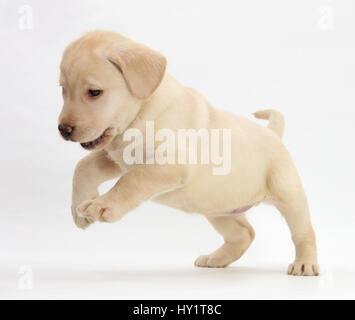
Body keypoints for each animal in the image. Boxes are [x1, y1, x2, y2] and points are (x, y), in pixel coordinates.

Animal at [58, 30, 320, 276]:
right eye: (63, 90)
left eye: (94, 92)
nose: (63, 130)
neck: (142, 112)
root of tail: (273, 133)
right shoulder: (118, 157)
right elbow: (83, 167)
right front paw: (78, 210)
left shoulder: (171, 163)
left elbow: (131, 180)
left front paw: (102, 205)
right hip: (219, 209)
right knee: (244, 234)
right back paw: (216, 259)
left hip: (289, 196)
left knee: (304, 232)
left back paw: (305, 264)